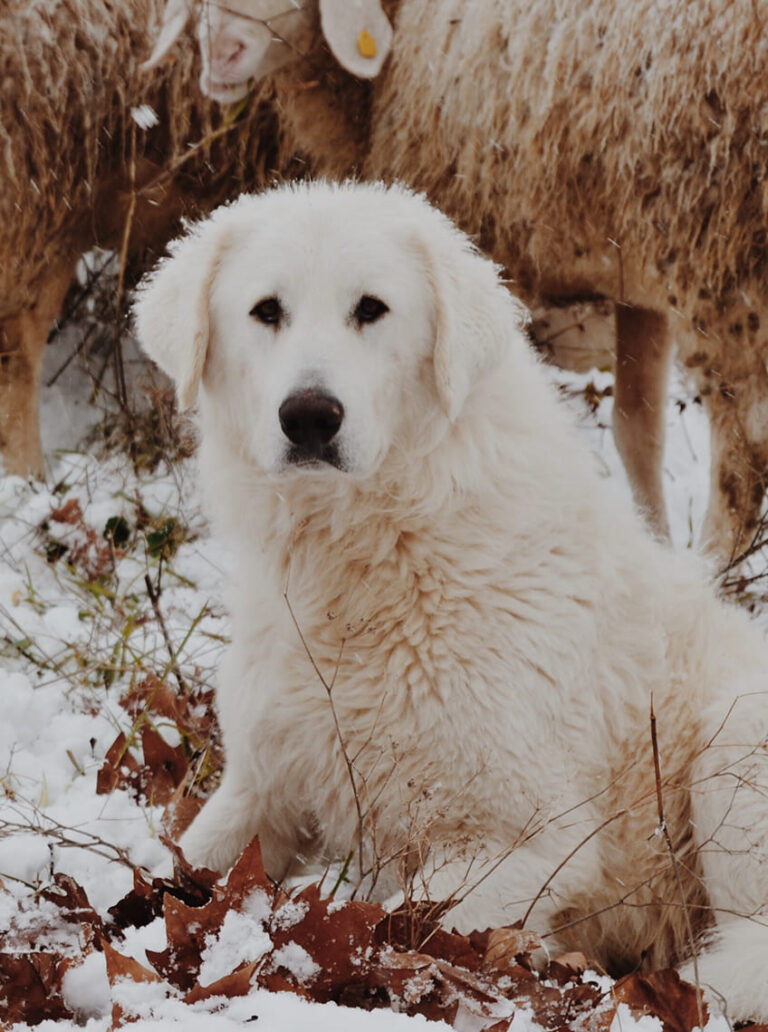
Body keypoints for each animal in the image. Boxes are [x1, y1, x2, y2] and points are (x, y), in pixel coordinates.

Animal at [135, 181, 768, 1019]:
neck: (376, 555)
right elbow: (171, 872)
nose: (309, 416)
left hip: (734, 745)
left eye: (371, 309)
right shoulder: (263, 787)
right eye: (266, 310)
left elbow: (392, 921)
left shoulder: (529, 837)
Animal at [146, 0, 768, 565]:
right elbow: (638, 432)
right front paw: (652, 542)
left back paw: (718, 568)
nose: (220, 57)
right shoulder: (634, 276)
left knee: (743, 459)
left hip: (722, 267)